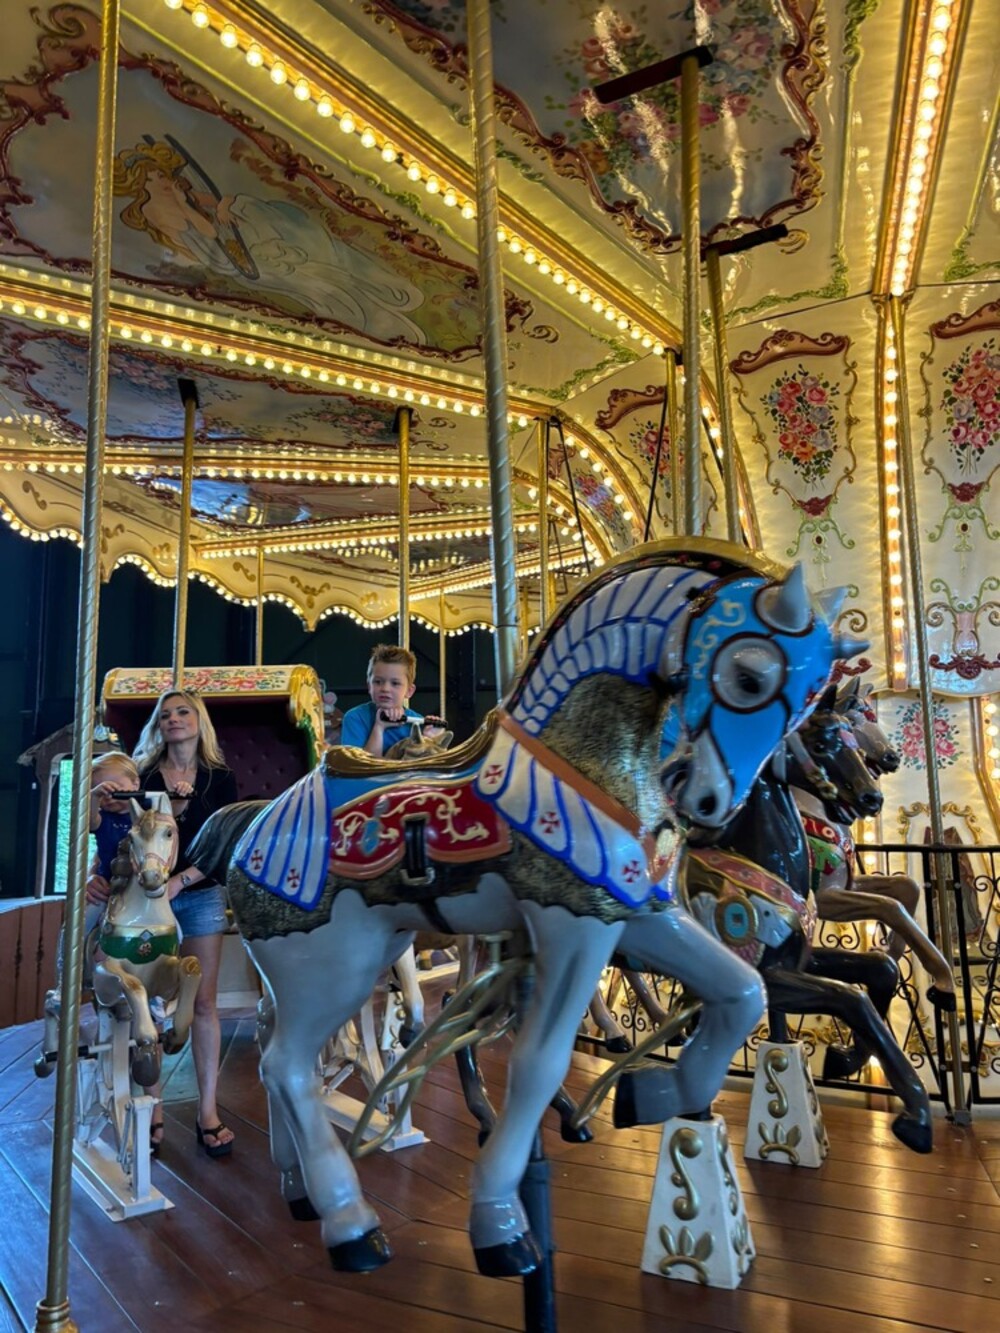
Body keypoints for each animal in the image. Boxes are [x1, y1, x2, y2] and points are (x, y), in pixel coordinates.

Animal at [190, 538, 862, 1277]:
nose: (711, 804)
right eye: (748, 675)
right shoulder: (570, 927)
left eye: (809, 704)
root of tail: (252, 825)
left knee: (278, 1057)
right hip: (333, 964)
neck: (586, 760)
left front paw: (653, 1093)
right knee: (287, 1065)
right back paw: (351, 1223)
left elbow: (741, 994)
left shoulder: (634, 916)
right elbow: (540, 1061)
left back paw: (298, 1189)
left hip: (328, 961)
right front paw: (501, 1224)